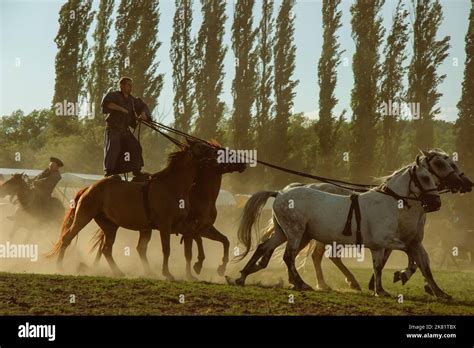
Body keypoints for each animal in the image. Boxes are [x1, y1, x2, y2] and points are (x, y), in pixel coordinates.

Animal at [235, 158, 450, 296]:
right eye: (425, 178)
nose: (436, 203)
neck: (389, 202)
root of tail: (280, 193)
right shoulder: (385, 241)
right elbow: (408, 254)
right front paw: (399, 277)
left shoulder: (380, 246)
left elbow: (382, 265)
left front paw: (381, 290)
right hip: (295, 233)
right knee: (289, 257)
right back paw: (302, 284)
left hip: (285, 233)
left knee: (264, 248)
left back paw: (243, 276)